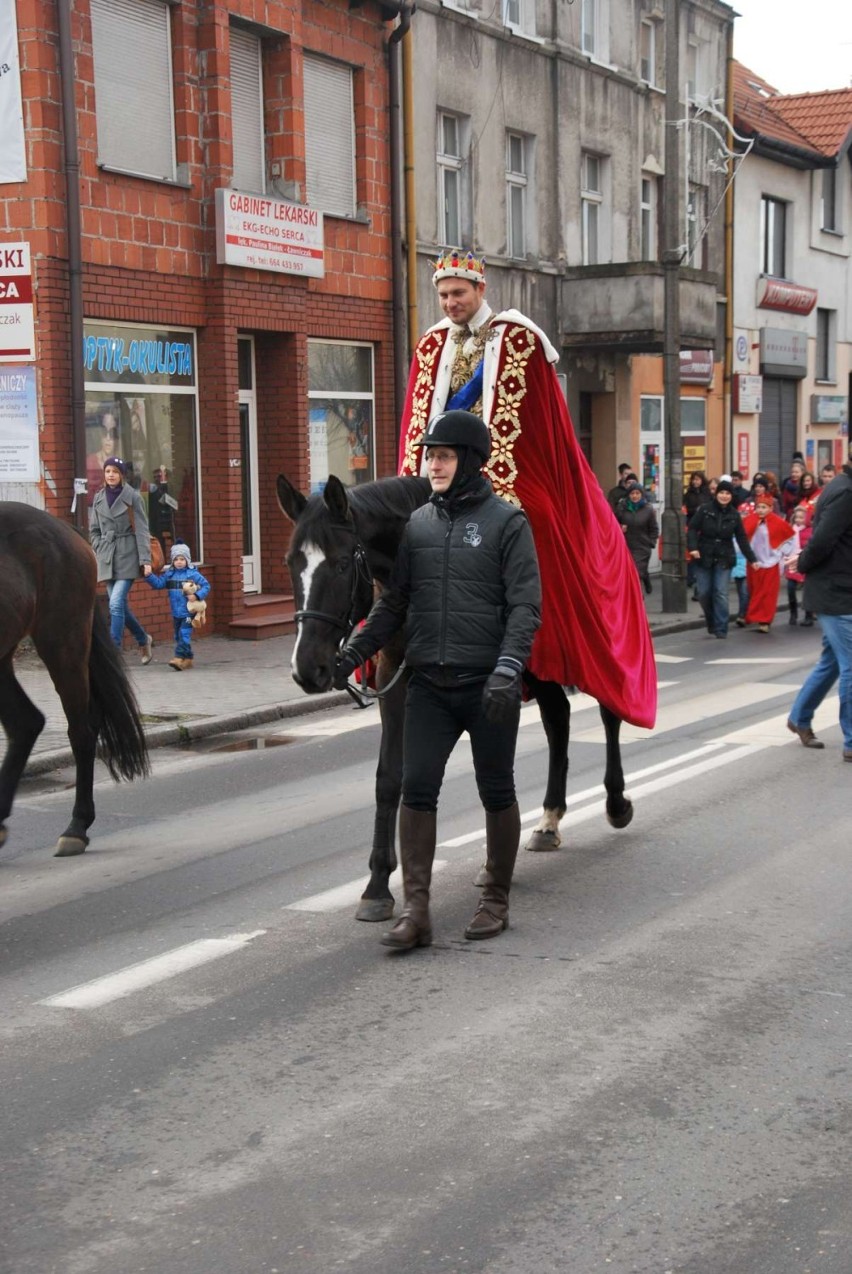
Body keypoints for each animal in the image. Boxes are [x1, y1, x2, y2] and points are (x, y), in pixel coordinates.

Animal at [276, 473, 629, 922]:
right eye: (291, 563)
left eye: (340, 563)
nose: (308, 669)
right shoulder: (395, 673)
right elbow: (390, 777)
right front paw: (377, 886)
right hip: (539, 670)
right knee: (558, 718)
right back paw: (549, 821)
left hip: (590, 648)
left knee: (609, 713)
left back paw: (616, 803)